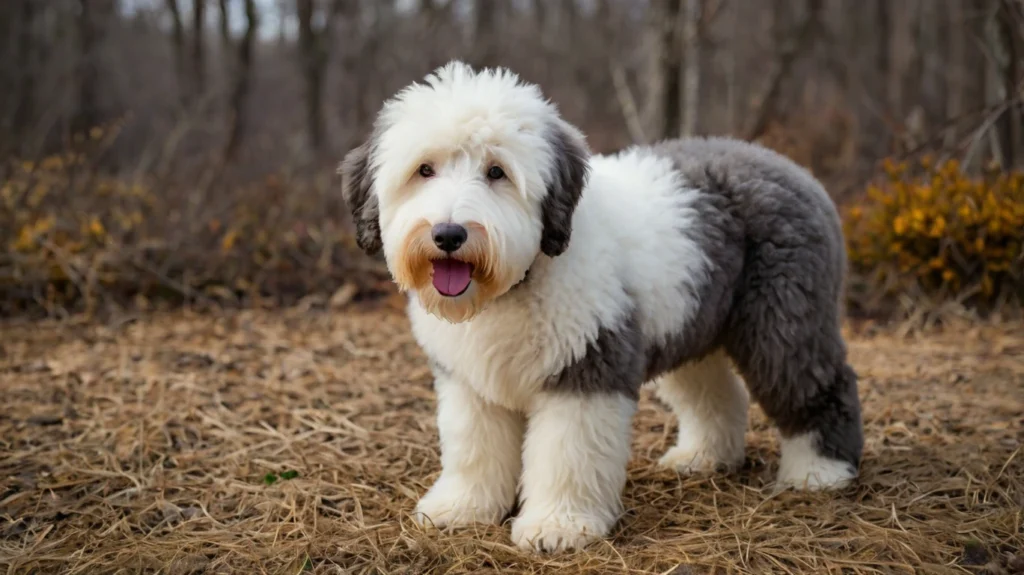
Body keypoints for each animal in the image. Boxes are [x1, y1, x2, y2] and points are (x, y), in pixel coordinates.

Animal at [339, 59, 860, 552]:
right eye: (424, 170)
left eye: (496, 172)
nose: (448, 234)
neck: (520, 279)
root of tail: (791, 168)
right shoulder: (469, 381)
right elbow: (473, 446)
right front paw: (462, 507)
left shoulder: (586, 366)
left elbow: (567, 453)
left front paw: (557, 526)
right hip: (692, 316)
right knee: (715, 392)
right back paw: (703, 457)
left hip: (785, 318)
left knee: (820, 384)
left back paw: (820, 472)